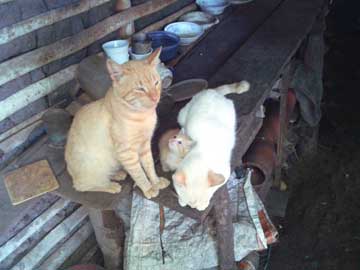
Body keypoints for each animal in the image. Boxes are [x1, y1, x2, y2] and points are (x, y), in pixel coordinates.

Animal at [64, 48, 169, 198]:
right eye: (140, 89)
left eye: (156, 83)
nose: (155, 97)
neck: (142, 115)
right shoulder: (127, 153)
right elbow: (139, 174)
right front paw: (148, 188)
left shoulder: (144, 145)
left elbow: (149, 167)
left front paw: (156, 182)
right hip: (94, 167)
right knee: (83, 186)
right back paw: (110, 186)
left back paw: (117, 174)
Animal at [173, 81, 249, 210]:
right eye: (189, 203)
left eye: (196, 204)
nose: (193, 207)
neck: (202, 151)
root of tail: (211, 91)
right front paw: (182, 202)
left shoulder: (226, 172)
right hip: (181, 116)